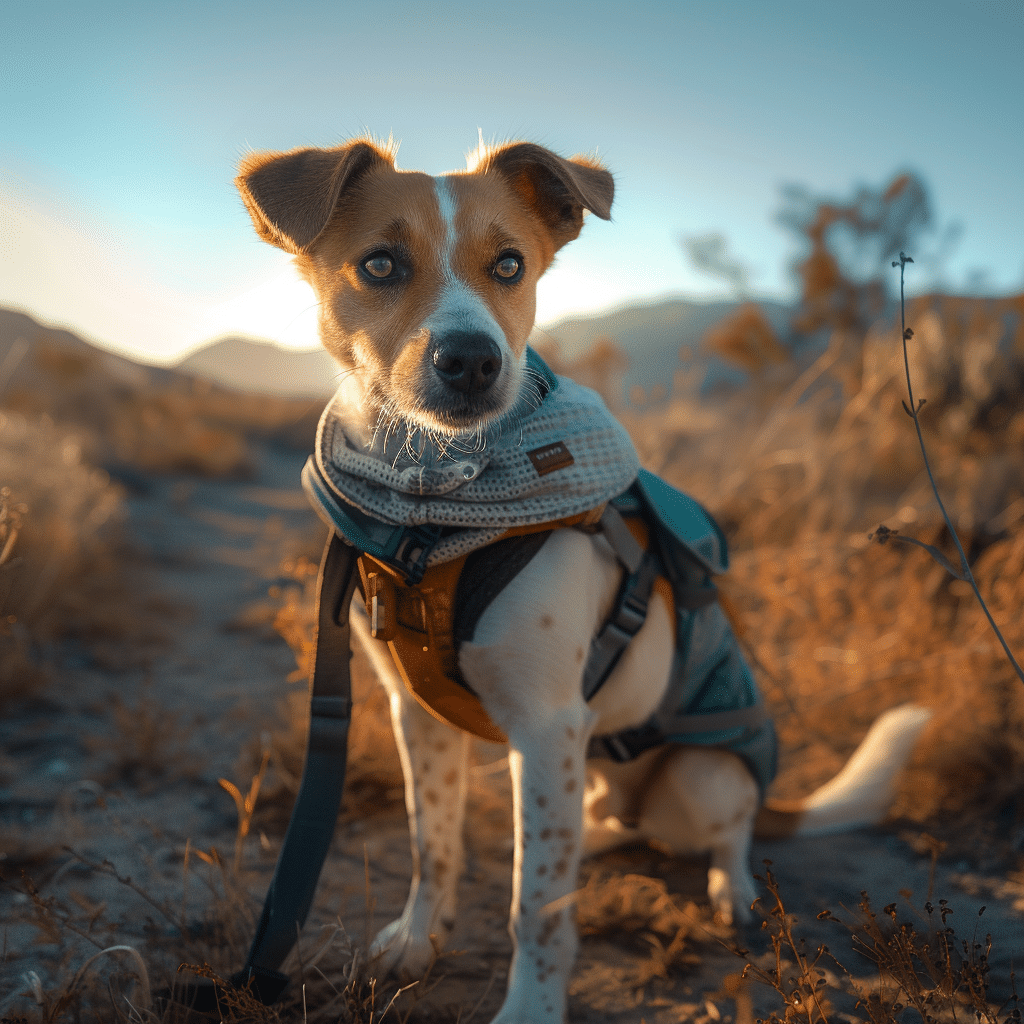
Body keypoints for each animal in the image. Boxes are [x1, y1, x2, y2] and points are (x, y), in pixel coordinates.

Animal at [235, 140, 933, 1024]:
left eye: (509, 264)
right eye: (380, 264)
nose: (474, 361)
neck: (434, 509)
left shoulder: (545, 723)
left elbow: (535, 904)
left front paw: (531, 1006)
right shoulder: (414, 711)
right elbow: (435, 843)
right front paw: (419, 940)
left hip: (701, 775)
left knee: (730, 831)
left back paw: (732, 889)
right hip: (585, 767)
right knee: (598, 824)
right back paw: (601, 838)